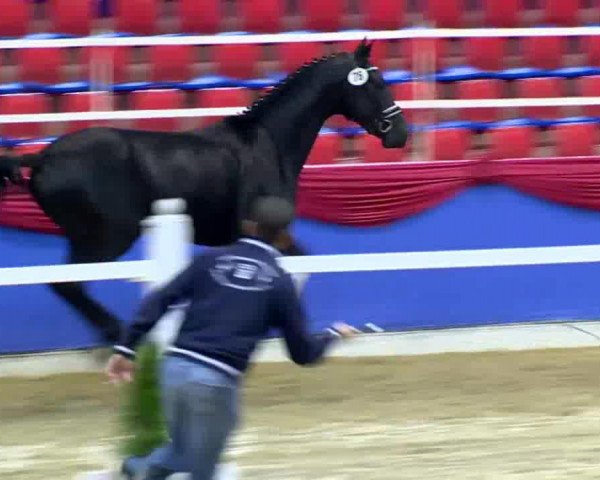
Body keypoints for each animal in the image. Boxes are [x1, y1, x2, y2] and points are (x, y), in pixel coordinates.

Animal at [0, 39, 408, 344]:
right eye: (375, 83)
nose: (400, 134)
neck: (270, 144)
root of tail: (44, 156)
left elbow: (298, 265)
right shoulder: (258, 232)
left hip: (85, 238)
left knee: (68, 285)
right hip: (108, 236)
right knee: (67, 284)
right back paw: (114, 338)